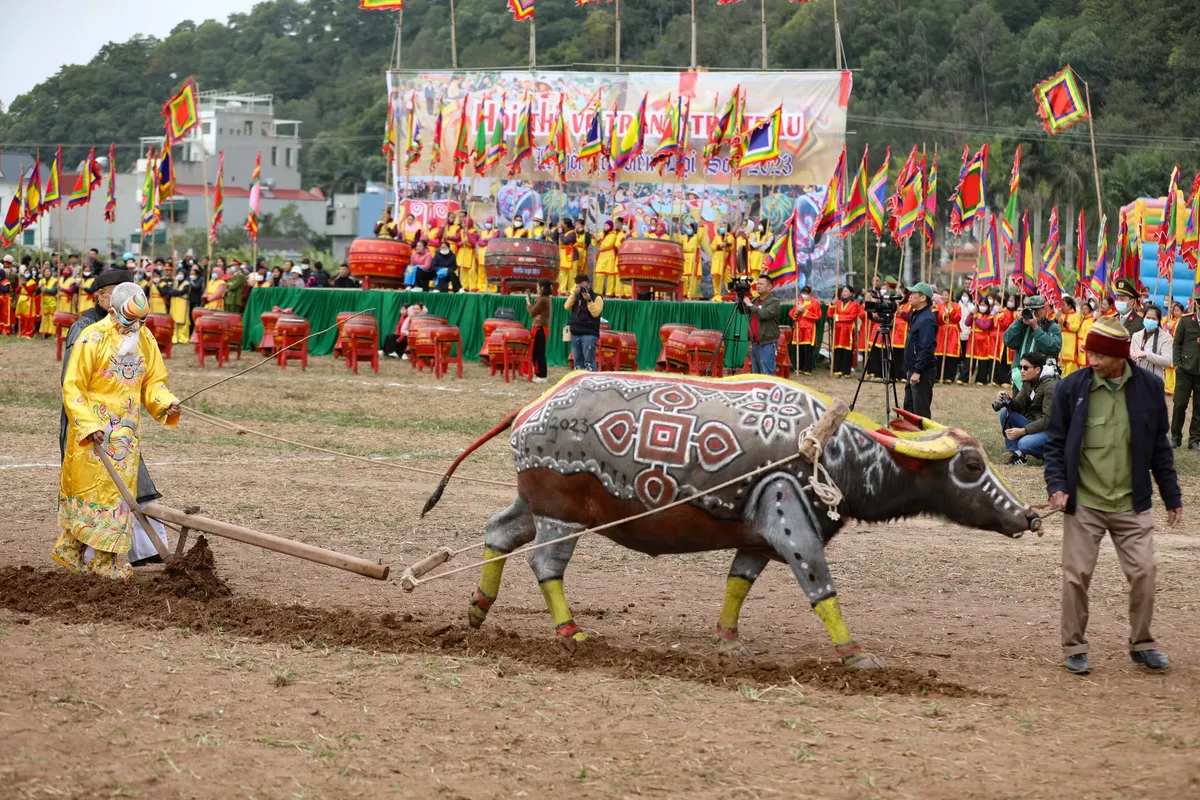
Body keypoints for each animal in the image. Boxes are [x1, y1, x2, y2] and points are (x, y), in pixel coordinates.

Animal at [424, 371, 1041, 666]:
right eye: (969, 466)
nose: (1030, 516)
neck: (830, 449)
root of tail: (530, 409)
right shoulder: (791, 522)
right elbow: (821, 587)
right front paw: (855, 654)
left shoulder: (758, 539)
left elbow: (738, 584)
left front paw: (729, 641)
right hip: (562, 517)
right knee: (546, 566)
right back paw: (570, 632)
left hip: (535, 505)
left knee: (498, 532)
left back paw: (478, 609)